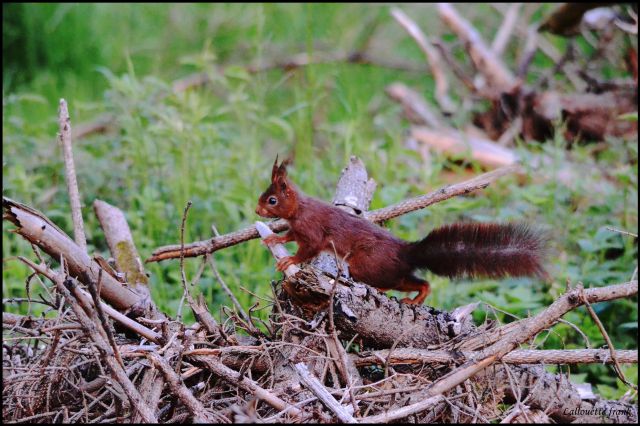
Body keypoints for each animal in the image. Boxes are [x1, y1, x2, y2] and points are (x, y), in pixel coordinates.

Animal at [254, 158, 544, 304]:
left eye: (272, 200)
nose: (257, 211)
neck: (299, 209)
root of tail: (407, 252)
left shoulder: (312, 229)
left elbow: (309, 248)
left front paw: (290, 260)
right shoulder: (298, 229)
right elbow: (290, 236)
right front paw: (274, 237)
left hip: (368, 265)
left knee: (396, 281)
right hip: (390, 271)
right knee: (417, 281)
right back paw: (415, 298)